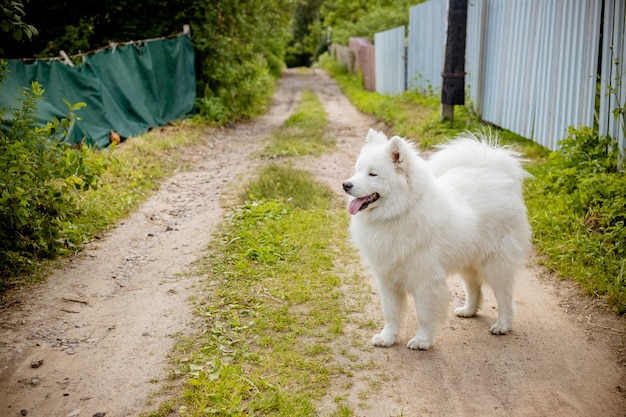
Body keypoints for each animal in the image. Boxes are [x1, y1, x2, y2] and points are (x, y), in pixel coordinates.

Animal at [344, 128, 528, 350]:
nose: (346, 185)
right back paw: (468, 311)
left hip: (496, 264)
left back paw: (502, 325)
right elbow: (391, 313)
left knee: (504, 298)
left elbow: (424, 314)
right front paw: (387, 338)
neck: (399, 213)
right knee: (474, 288)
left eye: (373, 174)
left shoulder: (425, 279)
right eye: (358, 170)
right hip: (468, 259)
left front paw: (422, 341)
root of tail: (496, 172)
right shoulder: (387, 278)